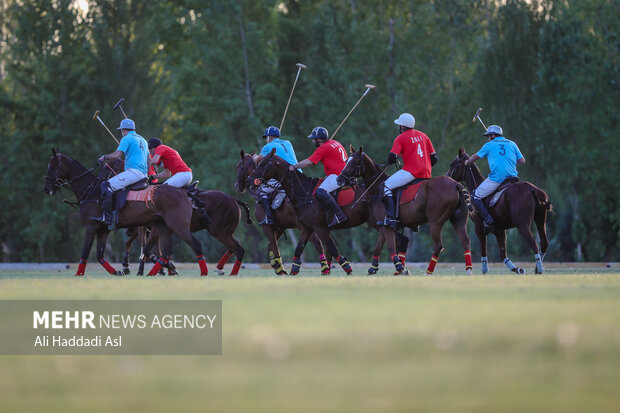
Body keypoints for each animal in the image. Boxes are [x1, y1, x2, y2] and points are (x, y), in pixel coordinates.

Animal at [43, 150, 209, 276]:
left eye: (53, 167)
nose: (46, 188)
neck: (90, 190)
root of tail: (185, 192)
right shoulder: (103, 230)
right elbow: (100, 255)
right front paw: (117, 271)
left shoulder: (90, 226)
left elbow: (85, 252)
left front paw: (79, 274)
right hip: (163, 226)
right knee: (164, 252)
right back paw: (158, 271)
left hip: (178, 225)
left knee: (195, 244)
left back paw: (202, 272)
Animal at [336, 146, 472, 276]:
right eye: (347, 161)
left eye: (354, 163)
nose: (339, 180)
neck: (377, 189)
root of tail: (456, 185)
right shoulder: (382, 224)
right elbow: (378, 247)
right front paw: (372, 269)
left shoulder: (387, 226)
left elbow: (391, 247)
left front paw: (401, 269)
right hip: (458, 219)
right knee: (465, 241)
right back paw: (468, 270)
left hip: (435, 221)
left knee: (438, 245)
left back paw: (428, 272)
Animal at [446, 146, 552, 274]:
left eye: (453, 164)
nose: (447, 177)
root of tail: (532, 189)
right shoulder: (500, 229)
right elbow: (503, 254)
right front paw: (518, 269)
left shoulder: (479, 226)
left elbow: (484, 250)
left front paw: (484, 270)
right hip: (540, 219)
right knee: (544, 242)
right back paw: (537, 268)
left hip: (522, 224)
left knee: (534, 244)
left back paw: (540, 269)